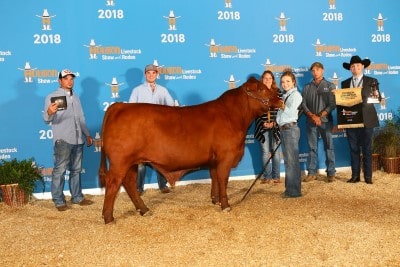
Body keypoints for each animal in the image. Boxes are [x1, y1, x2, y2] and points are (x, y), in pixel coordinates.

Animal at [98, 77, 282, 224]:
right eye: (262, 89)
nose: (280, 99)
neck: (234, 117)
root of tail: (119, 106)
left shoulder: (214, 160)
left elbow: (215, 178)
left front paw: (215, 200)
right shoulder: (226, 157)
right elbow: (223, 179)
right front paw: (225, 205)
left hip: (132, 162)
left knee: (129, 183)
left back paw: (144, 210)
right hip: (120, 161)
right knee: (113, 183)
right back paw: (108, 218)